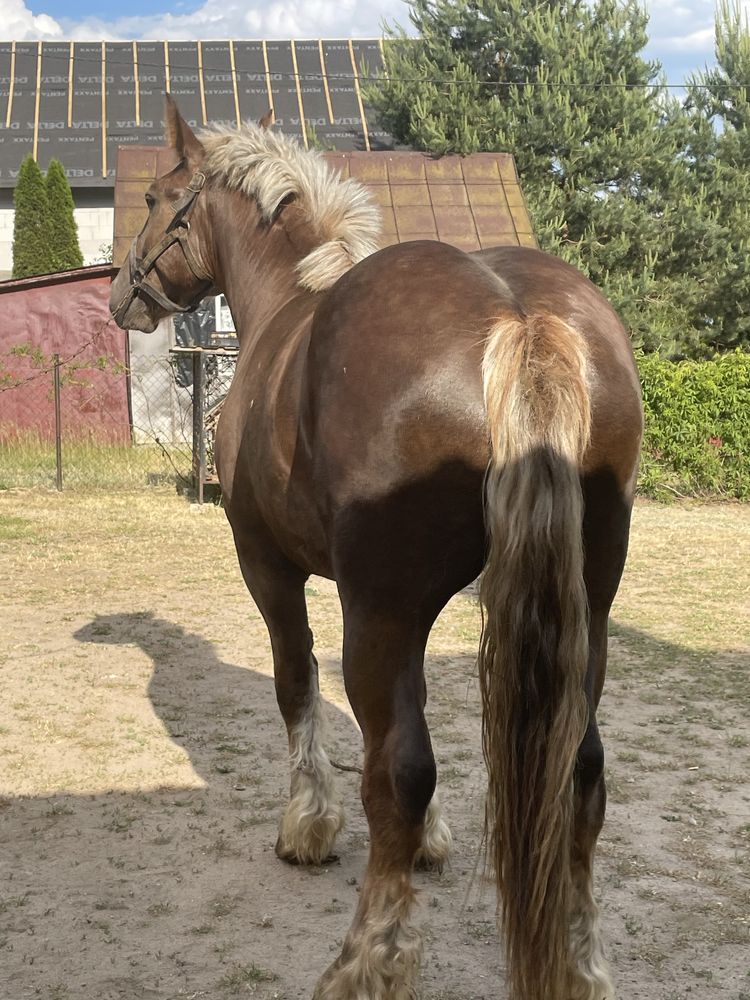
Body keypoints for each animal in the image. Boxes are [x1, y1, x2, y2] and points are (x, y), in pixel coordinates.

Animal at [111, 99, 648, 1000]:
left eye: (156, 197)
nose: (122, 294)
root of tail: (520, 319)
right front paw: (430, 840)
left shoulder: (271, 567)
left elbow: (297, 685)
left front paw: (308, 824)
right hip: (588, 614)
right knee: (580, 770)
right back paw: (579, 964)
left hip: (377, 609)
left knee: (399, 770)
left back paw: (368, 958)